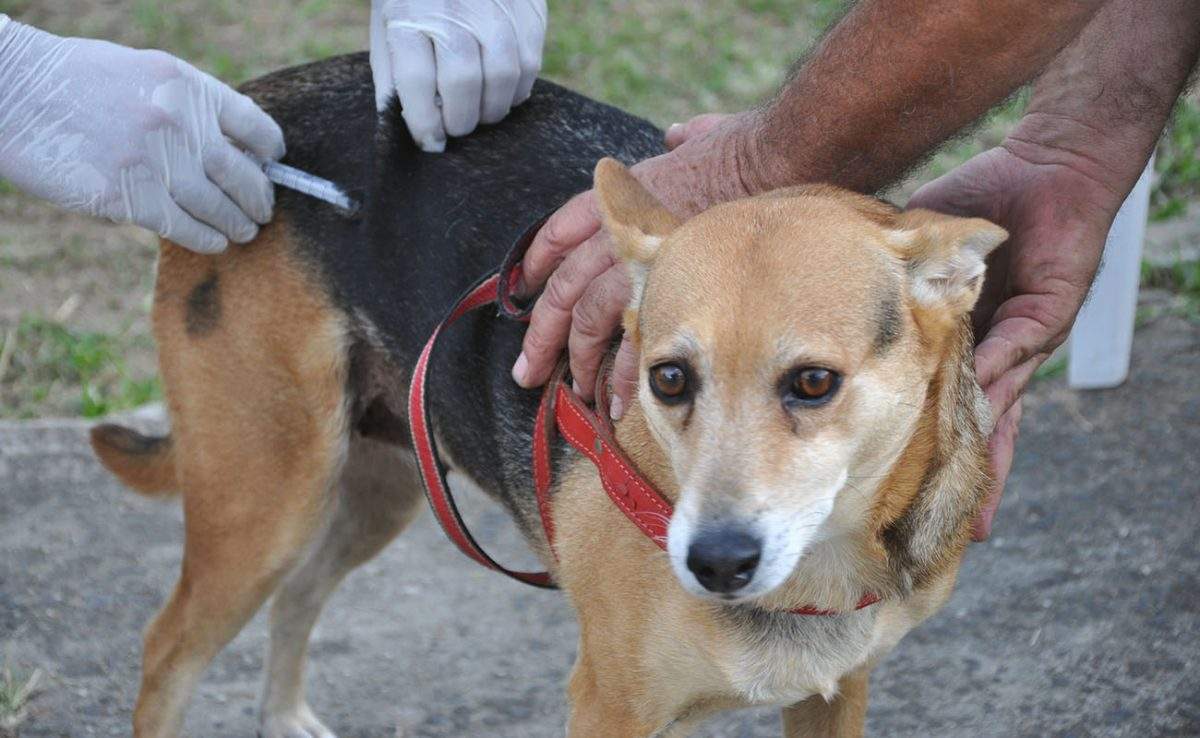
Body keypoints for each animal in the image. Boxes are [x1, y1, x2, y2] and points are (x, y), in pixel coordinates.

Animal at [88, 54, 998, 738]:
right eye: (667, 378)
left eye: (814, 383)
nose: (712, 562)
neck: (822, 568)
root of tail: (261, 103)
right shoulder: (606, 708)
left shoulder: (835, 695)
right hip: (269, 496)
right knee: (167, 648)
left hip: (380, 481)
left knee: (301, 593)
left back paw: (284, 719)